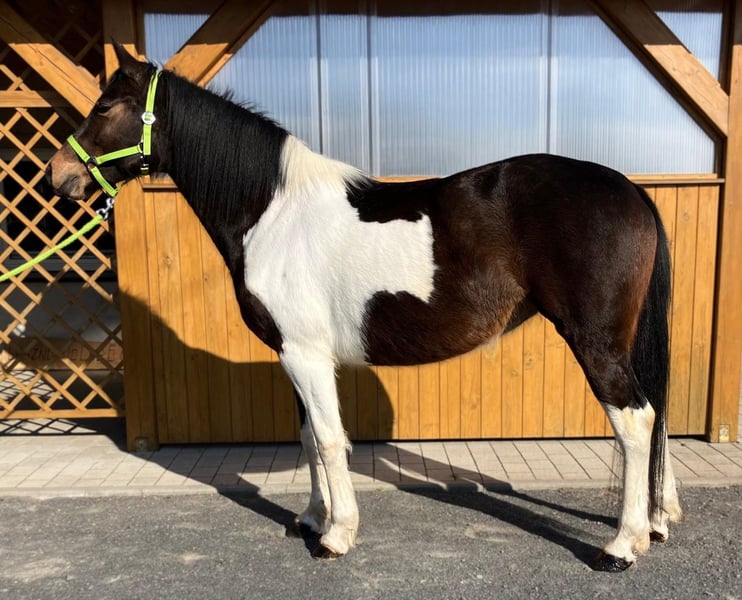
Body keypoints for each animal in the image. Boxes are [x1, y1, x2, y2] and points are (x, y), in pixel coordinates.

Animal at [46, 43, 682, 572]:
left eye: (106, 107)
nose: (58, 175)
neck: (273, 211)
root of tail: (630, 189)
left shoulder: (305, 355)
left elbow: (330, 440)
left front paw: (336, 536)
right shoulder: (293, 356)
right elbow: (308, 438)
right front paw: (310, 518)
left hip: (595, 341)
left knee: (635, 420)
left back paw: (622, 546)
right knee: (655, 414)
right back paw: (657, 522)